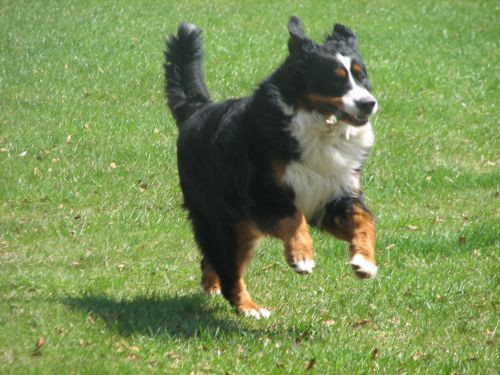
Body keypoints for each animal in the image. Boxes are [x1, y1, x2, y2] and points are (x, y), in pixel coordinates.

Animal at [165, 16, 378, 320]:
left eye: (361, 76)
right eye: (336, 79)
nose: (368, 103)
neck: (321, 129)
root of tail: (197, 110)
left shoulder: (335, 195)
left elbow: (365, 219)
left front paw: (365, 261)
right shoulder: (262, 192)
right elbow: (293, 218)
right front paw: (302, 257)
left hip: (239, 226)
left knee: (214, 260)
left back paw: (212, 286)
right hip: (221, 220)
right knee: (229, 270)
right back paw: (249, 308)